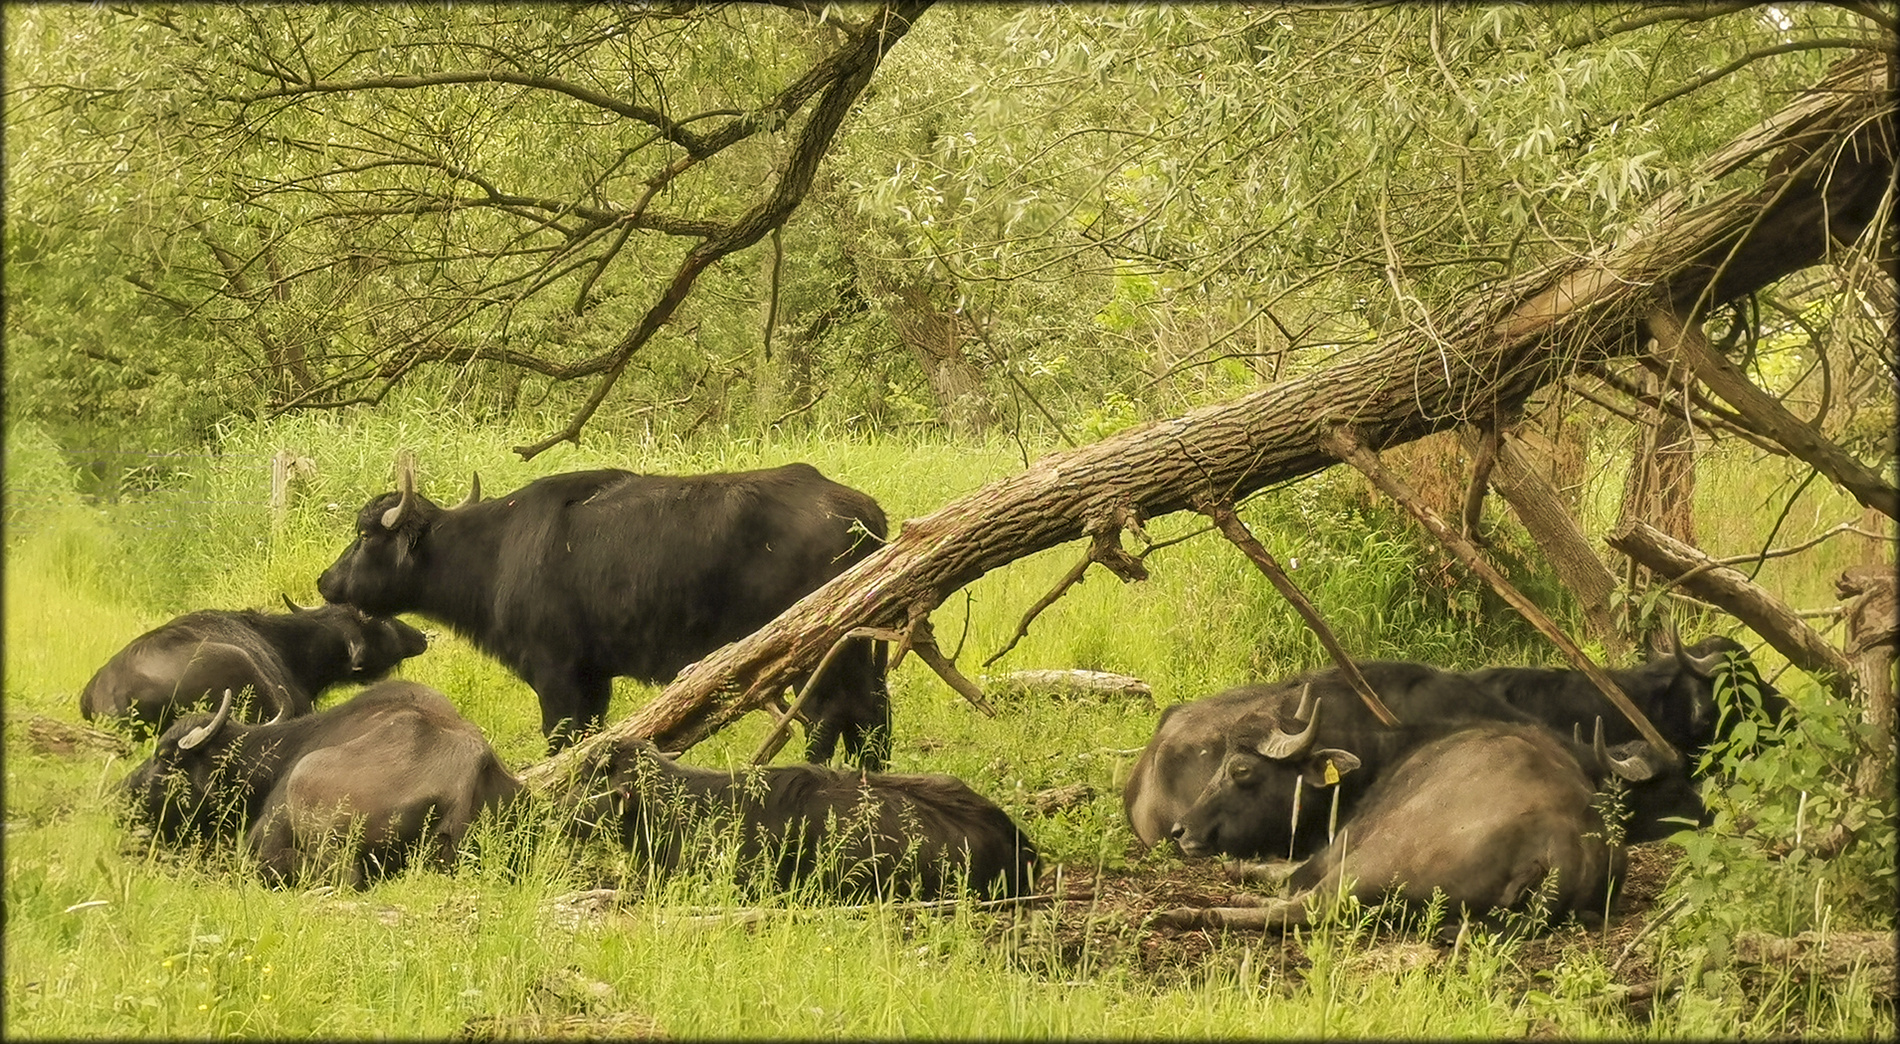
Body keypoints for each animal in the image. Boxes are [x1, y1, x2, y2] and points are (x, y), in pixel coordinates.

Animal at [317, 460, 889, 760]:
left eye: (364, 535)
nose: (326, 581)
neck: (497, 549)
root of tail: (863, 513)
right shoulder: (595, 678)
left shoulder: (558, 676)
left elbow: (561, 739)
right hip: (866, 654)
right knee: (871, 717)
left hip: (817, 656)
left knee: (829, 717)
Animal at [1147, 718, 1687, 931]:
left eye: (1241, 770)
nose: (1180, 831)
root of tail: (1561, 842)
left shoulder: (1337, 847)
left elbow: (1287, 870)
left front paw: (1238, 873)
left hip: (1368, 865)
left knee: (1309, 908)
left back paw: (1191, 913)